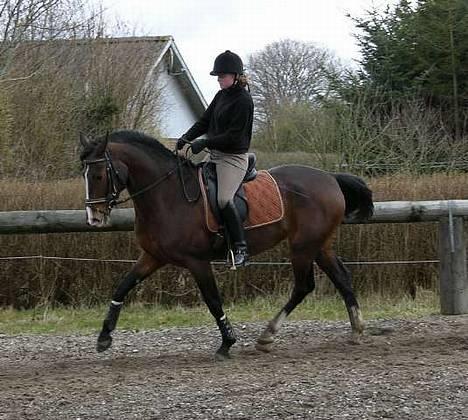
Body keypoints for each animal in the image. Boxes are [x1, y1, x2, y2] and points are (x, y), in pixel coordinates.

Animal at [79, 130, 372, 360]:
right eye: (84, 173)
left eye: (98, 175)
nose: (94, 218)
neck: (167, 196)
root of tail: (330, 178)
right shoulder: (152, 256)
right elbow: (123, 286)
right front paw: (104, 337)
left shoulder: (197, 261)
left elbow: (213, 300)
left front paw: (227, 343)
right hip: (319, 245)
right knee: (341, 277)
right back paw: (356, 330)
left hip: (302, 247)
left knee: (303, 286)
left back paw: (267, 336)